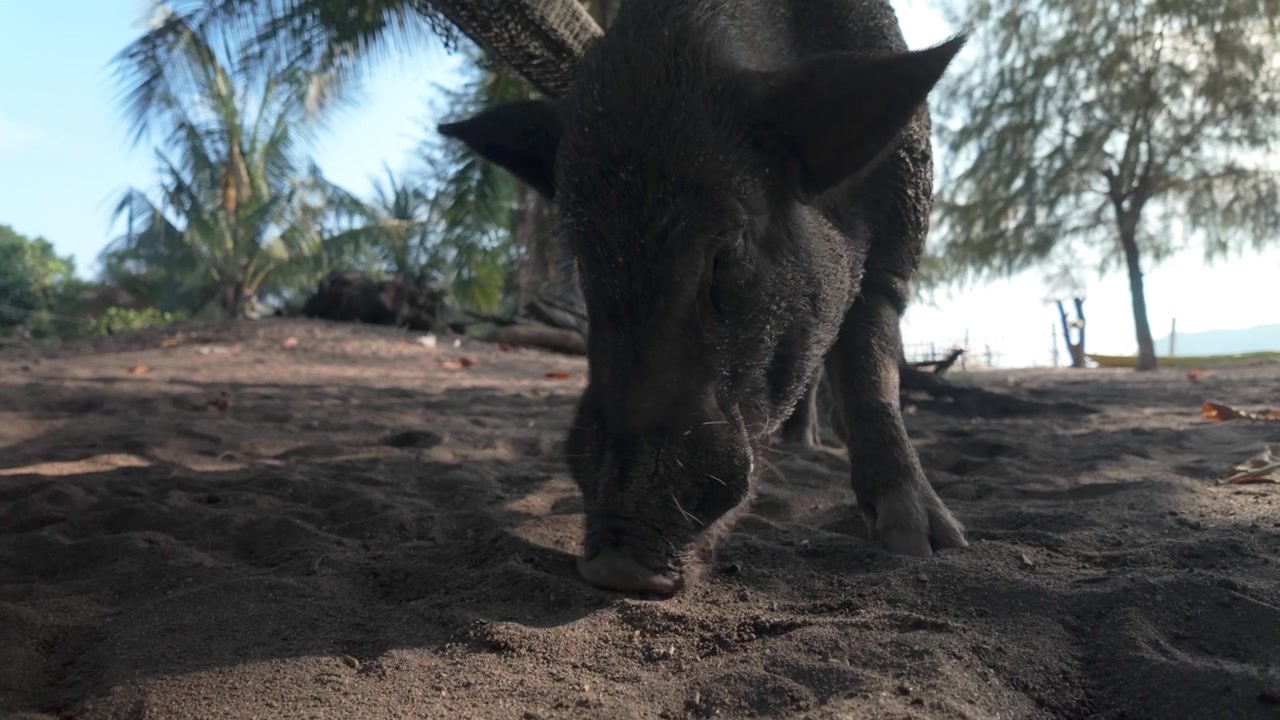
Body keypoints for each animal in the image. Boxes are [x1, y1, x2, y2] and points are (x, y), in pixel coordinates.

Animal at [439, 0, 968, 595]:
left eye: (727, 250)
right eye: (584, 259)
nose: (617, 565)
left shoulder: (897, 242)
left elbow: (871, 375)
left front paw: (924, 545)